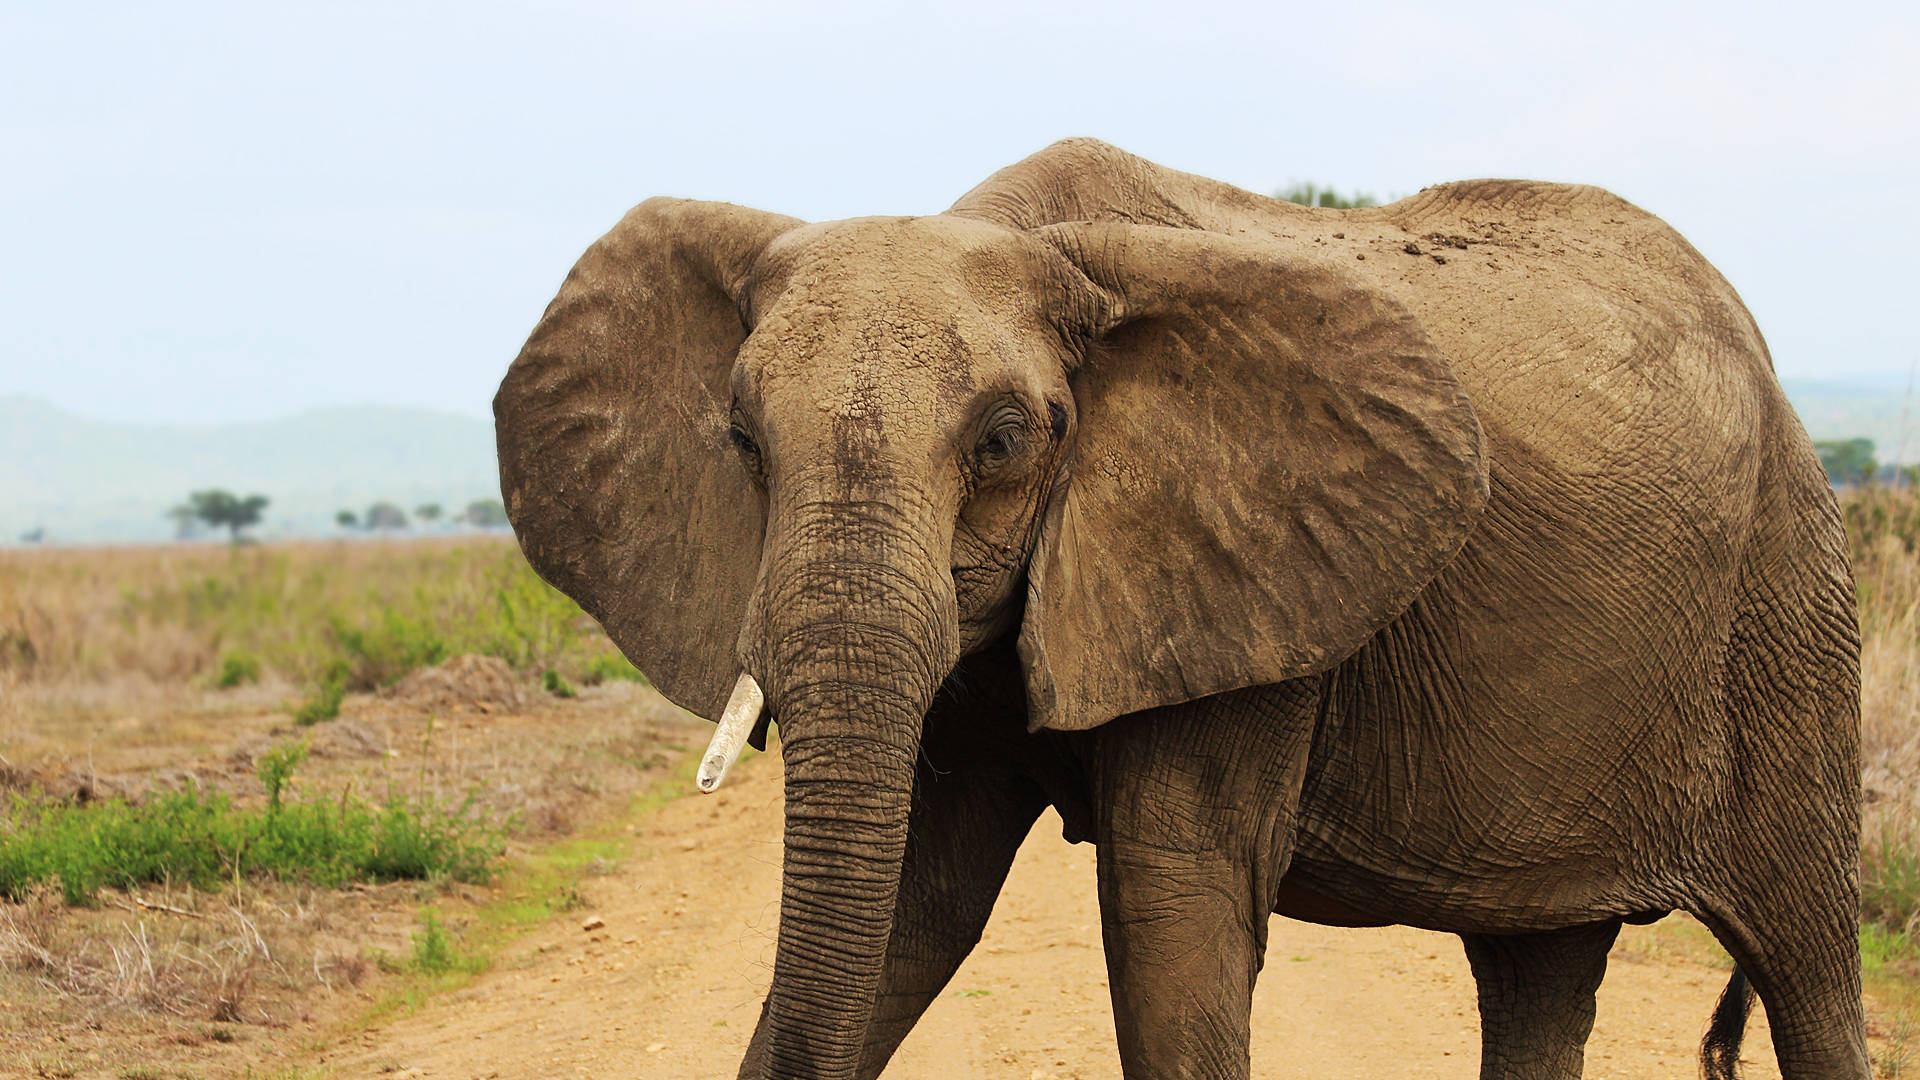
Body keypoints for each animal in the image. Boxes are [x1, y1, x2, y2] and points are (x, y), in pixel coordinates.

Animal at [494, 139, 1863, 1080]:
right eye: (739, 440)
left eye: (1003, 441)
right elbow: (917, 907)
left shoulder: (1248, 591)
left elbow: (1172, 909)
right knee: (1540, 967)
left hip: (1792, 603)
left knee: (1807, 961)